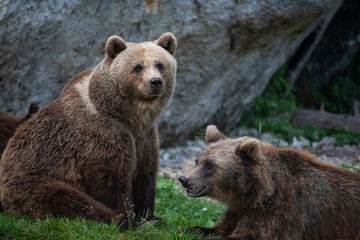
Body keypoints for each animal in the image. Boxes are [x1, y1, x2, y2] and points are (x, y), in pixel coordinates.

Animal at [0, 32, 177, 226]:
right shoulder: (102, 135)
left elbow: (145, 175)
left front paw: (149, 216)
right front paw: (127, 215)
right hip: (30, 182)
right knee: (64, 197)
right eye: (138, 67)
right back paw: (118, 219)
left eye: (160, 64)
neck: (128, 117)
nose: (155, 82)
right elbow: (110, 180)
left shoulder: (144, 137)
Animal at [179, 124, 360, 239]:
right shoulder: (239, 209)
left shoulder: (279, 210)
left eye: (210, 165)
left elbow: (252, 234)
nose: (184, 179)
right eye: (197, 161)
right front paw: (194, 229)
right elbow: (221, 227)